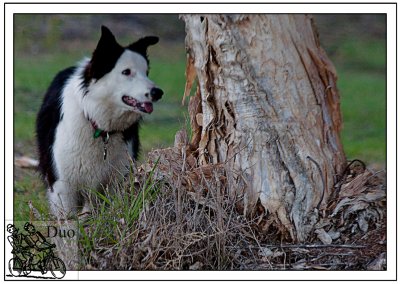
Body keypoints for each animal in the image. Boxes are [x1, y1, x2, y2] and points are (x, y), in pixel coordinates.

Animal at [36, 26, 163, 217]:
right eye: (126, 72)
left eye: (146, 72)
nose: (158, 92)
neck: (100, 128)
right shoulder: (62, 185)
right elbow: (68, 221)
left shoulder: (116, 180)